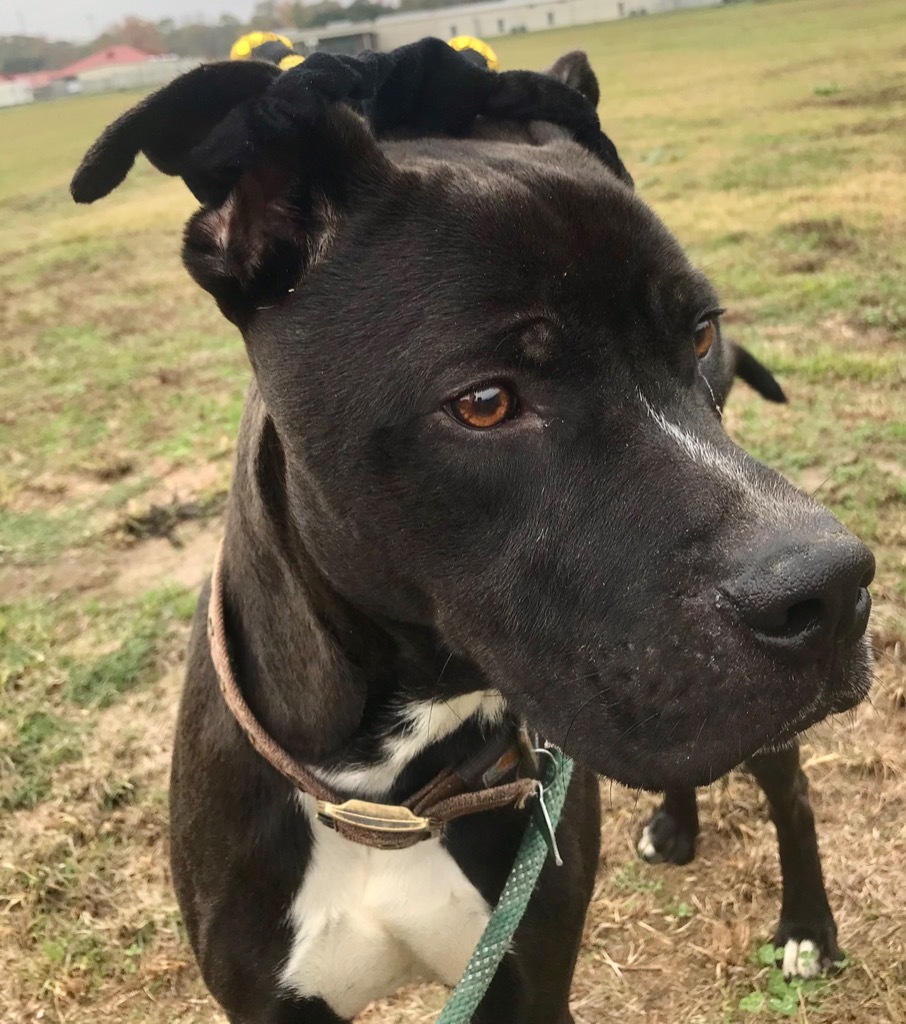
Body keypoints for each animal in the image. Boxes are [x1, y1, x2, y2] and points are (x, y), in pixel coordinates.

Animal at [74, 41, 872, 1024]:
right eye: (485, 402)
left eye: (698, 335)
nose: (835, 586)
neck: (384, 789)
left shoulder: (529, 975)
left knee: (789, 790)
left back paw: (805, 928)